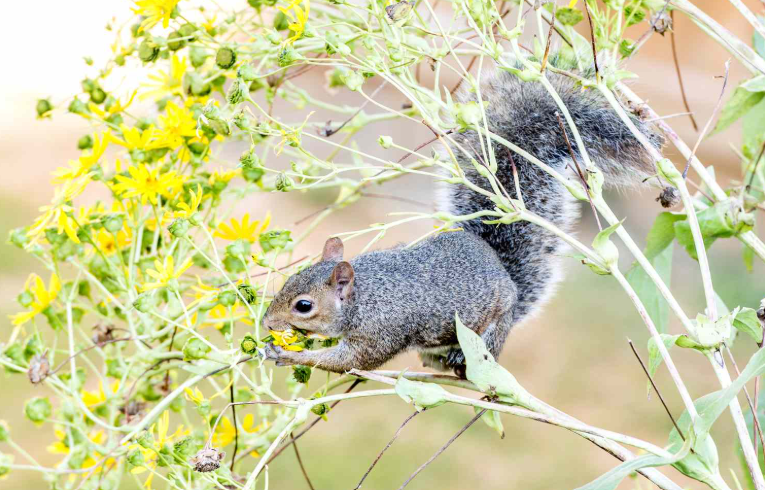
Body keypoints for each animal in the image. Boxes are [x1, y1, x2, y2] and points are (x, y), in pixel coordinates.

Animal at [262, 64, 664, 377]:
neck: (363, 295)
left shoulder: (380, 332)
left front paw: (289, 354)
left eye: (303, 306)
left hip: (493, 326)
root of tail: (503, 274)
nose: (267, 323)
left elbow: (350, 362)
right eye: (289, 280)